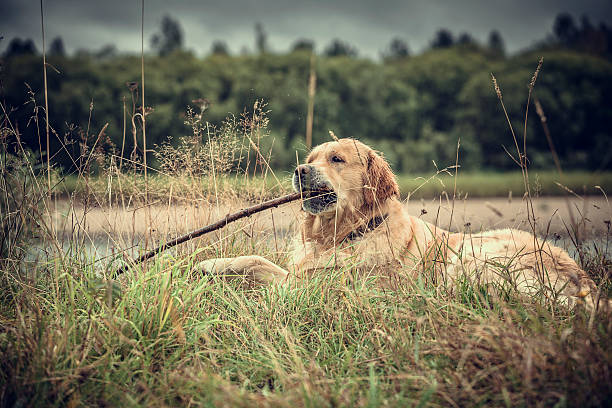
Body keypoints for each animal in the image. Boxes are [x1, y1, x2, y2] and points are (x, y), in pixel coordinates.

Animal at [200, 139, 608, 310]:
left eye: (336, 159)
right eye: (311, 158)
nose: (300, 171)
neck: (343, 235)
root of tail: (583, 280)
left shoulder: (325, 284)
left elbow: (277, 279)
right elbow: (256, 260)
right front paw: (210, 264)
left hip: (474, 255)